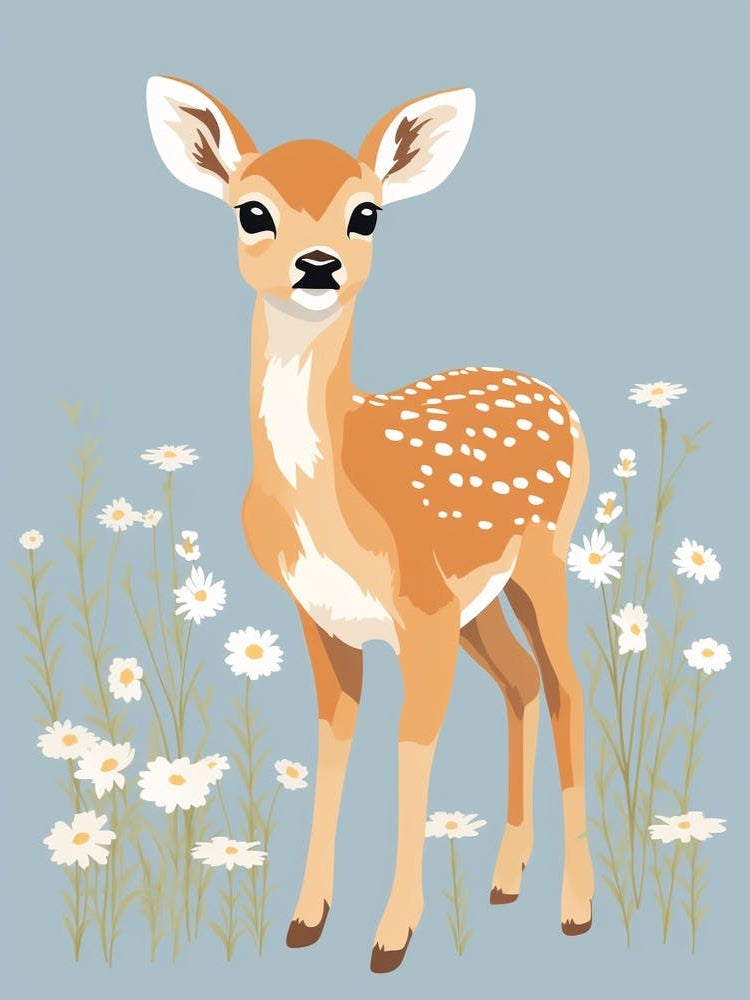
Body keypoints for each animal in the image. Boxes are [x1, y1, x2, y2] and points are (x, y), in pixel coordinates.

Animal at [146, 76, 594, 973]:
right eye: (252, 211)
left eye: (366, 213)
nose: (318, 265)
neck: (334, 502)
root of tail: (558, 398)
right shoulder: (323, 615)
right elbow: (334, 739)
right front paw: (304, 920)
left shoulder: (420, 610)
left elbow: (411, 746)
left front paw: (392, 936)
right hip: (477, 601)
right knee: (523, 682)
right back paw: (506, 879)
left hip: (542, 558)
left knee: (568, 687)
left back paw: (576, 907)